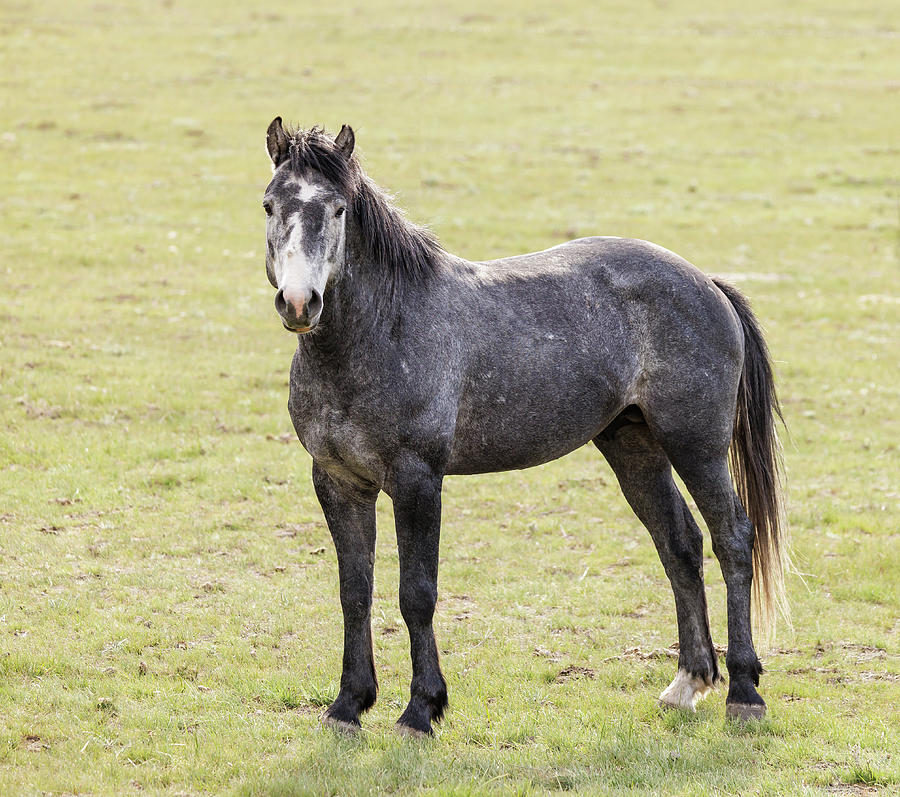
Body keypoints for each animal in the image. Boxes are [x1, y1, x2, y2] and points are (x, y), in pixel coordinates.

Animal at [260, 116, 788, 732]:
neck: (382, 330)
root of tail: (706, 282)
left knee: (733, 539)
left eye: (339, 209)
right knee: (679, 542)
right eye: (270, 205)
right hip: (634, 445)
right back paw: (688, 683)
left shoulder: (417, 482)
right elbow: (355, 592)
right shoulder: (338, 482)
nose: (300, 302)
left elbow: (416, 593)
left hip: (696, 445)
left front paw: (421, 709)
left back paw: (744, 692)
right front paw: (348, 704)